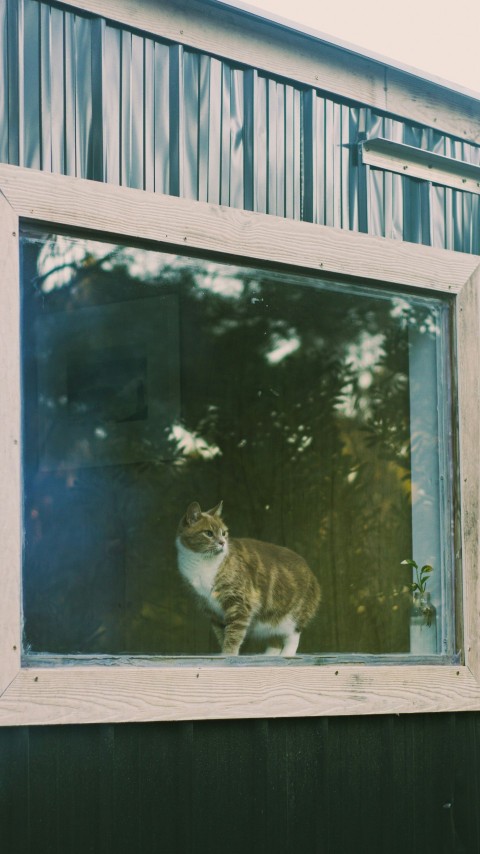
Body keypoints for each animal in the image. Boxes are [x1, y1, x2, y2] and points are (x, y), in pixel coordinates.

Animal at [174, 498, 320, 660]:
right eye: (208, 533)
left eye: (224, 533)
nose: (222, 542)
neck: (200, 562)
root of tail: (312, 573)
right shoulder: (212, 610)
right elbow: (222, 634)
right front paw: (223, 654)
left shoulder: (239, 603)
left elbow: (233, 634)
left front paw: (229, 655)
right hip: (269, 620)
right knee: (274, 640)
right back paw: (267, 656)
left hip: (291, 616)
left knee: (293, 636)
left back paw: (287, 654)